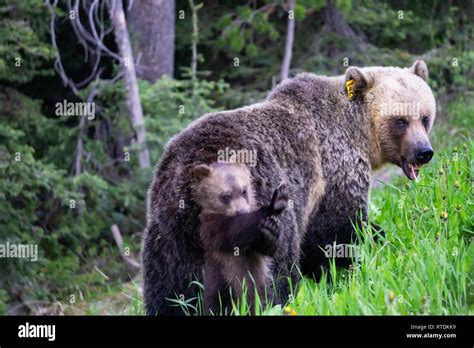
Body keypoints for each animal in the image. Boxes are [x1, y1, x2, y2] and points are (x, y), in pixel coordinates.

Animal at [142, 60, 436, 316]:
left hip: (172, 228)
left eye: (425, 117)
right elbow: (337, 232)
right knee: (277, 263)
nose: (424, 152)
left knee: (171, 286)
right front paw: (367, 247)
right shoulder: (330, 172)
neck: (357, 133)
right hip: (260, 200)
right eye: (400, 120)